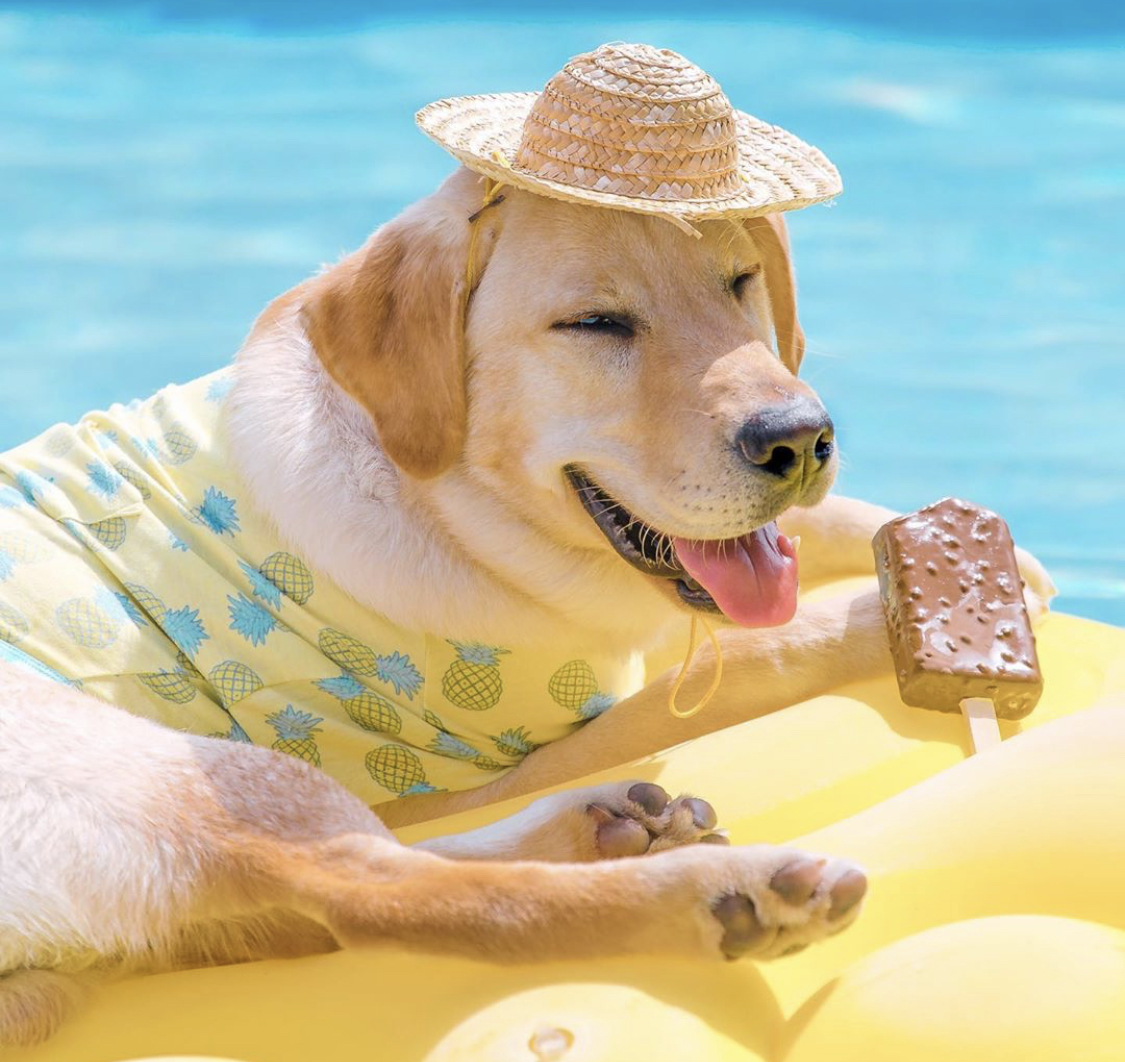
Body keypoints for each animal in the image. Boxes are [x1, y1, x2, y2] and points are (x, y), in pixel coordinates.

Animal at [0, 162, 1053, 1039]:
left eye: (739, 281)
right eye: (595, 325)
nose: (797, 439)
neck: (440, 502)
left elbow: (809, 538)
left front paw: (973, 554)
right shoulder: (494, 756)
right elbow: (760, 650)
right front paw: (878, 618)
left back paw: (614, 826)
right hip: (182, 769)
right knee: (380, 889)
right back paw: (727, 891)